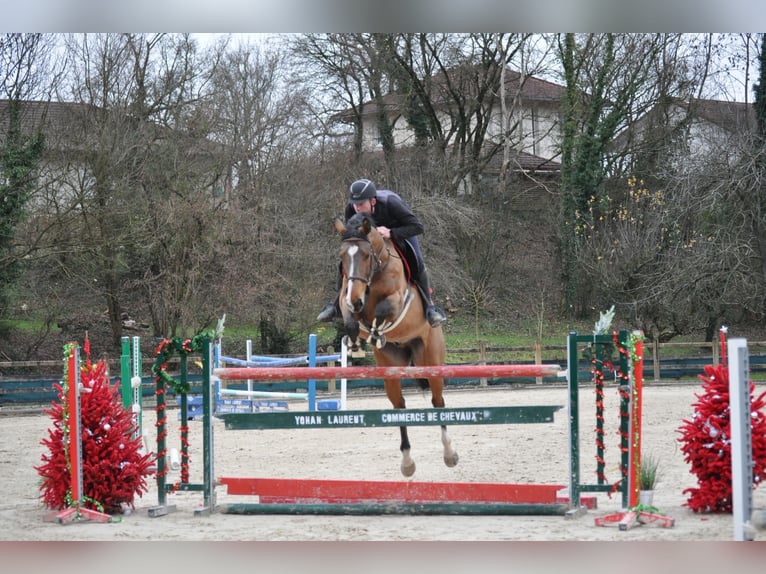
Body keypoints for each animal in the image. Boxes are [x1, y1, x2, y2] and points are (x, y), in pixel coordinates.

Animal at [333, 211, 458, 477]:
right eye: (342, 256)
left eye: (365, 255)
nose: (356, 300)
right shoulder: (346, 298)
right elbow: (350, 318)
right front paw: (356, 342)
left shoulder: (397, 300)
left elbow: (383, 310)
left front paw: (375, 331)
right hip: (390, 369)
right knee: (399, 407)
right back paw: (407, 462)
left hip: (431, 361)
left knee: (438, 402)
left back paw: (449, 454)